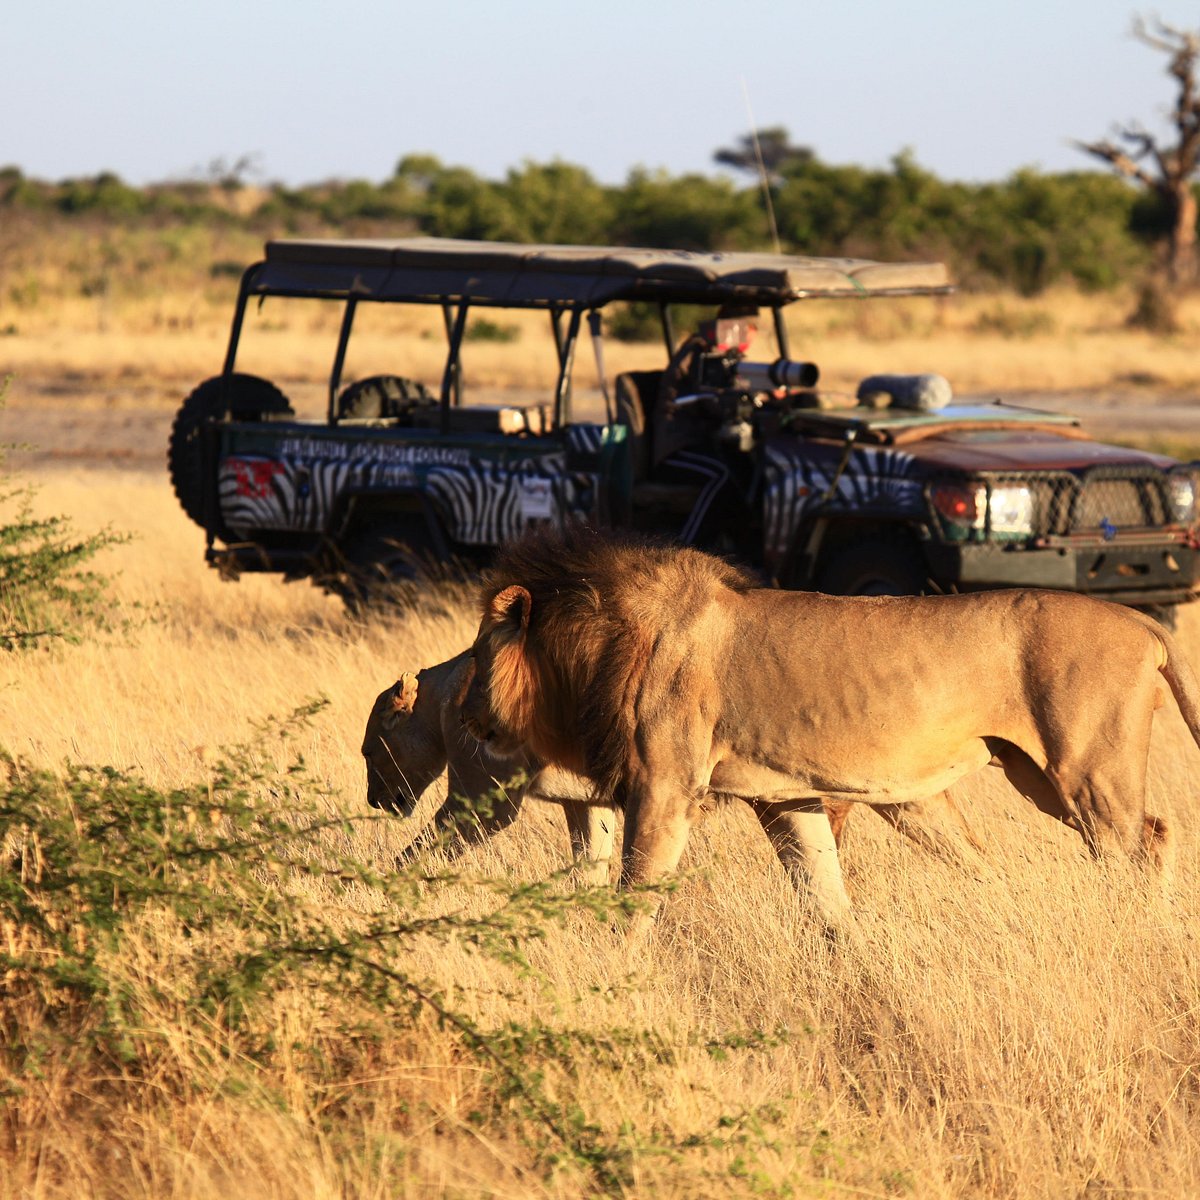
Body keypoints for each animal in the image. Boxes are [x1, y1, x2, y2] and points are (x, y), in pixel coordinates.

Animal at [463, 525, 1195, 926]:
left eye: (475, 656)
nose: (469, 720)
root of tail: (1143, 621)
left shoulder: (666, 788)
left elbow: (636, 897)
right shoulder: (788, 796)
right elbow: (827, 898)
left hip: (1084, 769)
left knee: (1144, 843)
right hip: (1035, 774)